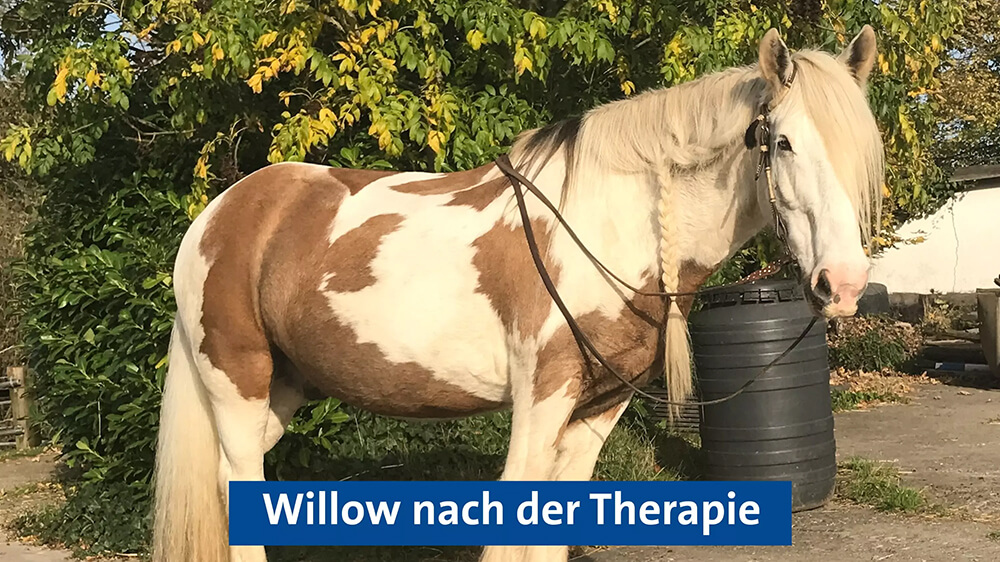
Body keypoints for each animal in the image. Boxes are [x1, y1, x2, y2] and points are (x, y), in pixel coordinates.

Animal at [153, 26, 883, 562]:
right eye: (781, 142)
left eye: (862, 154)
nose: (843, 283)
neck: (610, 226)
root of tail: (216, 216)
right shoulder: (541, 399)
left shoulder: (599, 408)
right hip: (235, 383)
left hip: (279, 390)